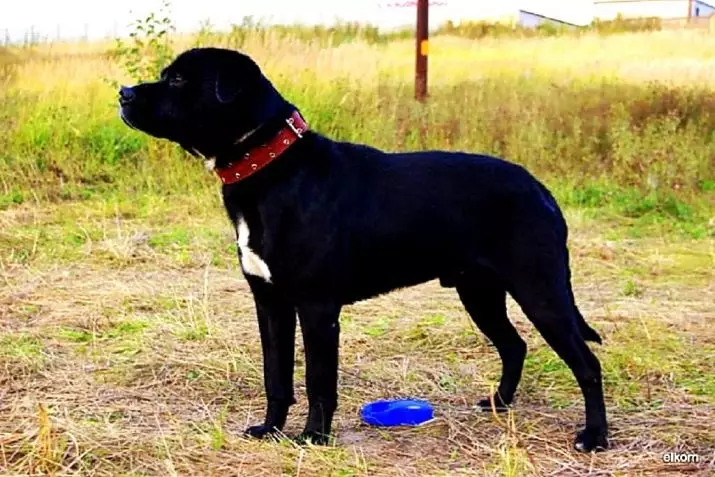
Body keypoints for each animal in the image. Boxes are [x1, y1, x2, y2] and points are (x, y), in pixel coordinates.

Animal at [117, 47, 608, 450]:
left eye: (180, 80)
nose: (123, 93)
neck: (272, 171)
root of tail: (539, 189)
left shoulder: (317, 308)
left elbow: (318, 381)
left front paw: (313, 437)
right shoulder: (270, 303)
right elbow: (276, 375)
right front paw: (270, 429)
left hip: (540, 292)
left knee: (586, 363)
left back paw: (594, 437)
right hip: (480, 293)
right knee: (514, 346)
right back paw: (497, 403)